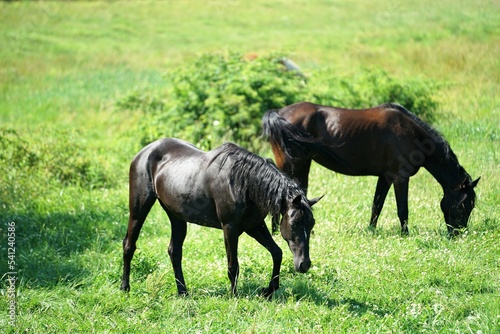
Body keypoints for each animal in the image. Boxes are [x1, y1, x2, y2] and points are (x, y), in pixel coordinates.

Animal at [264, 102, 478, 235]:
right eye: (463, 205)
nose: (458, 233)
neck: (411, 133)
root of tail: (277, 113)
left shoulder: (385, 177)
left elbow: (377, 206)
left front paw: (371, 230)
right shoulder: (401, 178)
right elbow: (403, 209)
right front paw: (405, 234)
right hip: (297, 165)